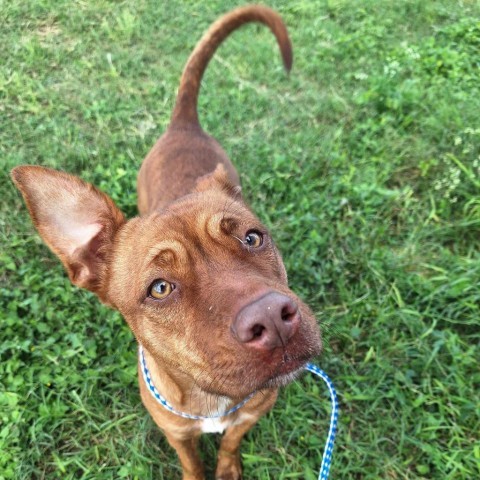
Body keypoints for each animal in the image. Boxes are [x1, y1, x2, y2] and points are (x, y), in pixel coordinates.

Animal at [11, 4, 320, 480]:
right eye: (160, 288)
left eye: (253, 238)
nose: (273, 319)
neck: (211, 400)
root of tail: (183, 124)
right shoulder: (177, 434)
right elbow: (191, 460)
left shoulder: (250, 416)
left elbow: (230, 444)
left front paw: (228, 468)